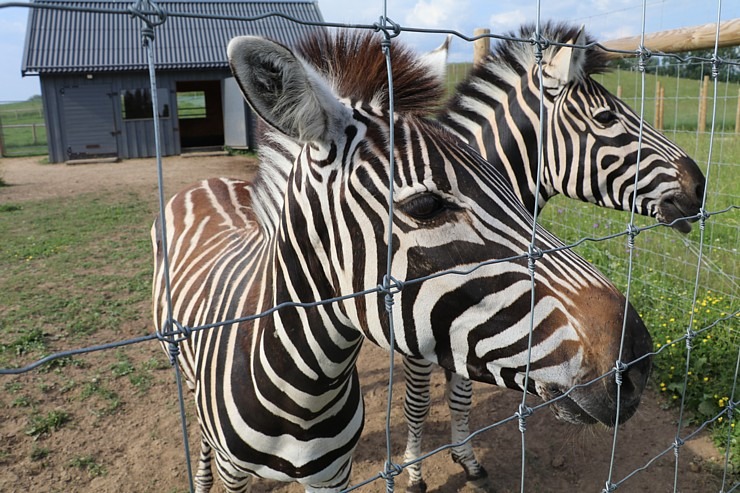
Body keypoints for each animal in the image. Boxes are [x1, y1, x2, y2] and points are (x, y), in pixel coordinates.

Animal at [153, 30, 652, 492]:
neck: (305, 388)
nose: (638, 360)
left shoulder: (334, 473)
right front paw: (417, 471)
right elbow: (419, 402)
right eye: (426, 206)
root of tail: (207, 180)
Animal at [398, 21, 704, 490]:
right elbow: (416, 403)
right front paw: (414, 472)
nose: (700, 184)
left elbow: (461, 396)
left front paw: (467, 461)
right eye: (606, 118)